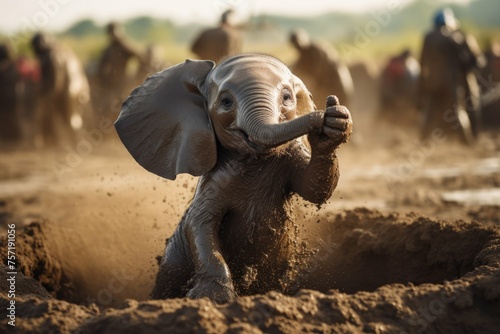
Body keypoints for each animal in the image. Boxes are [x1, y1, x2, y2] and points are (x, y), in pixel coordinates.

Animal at [116, 53, 352, 304]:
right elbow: (200, 223)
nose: (331, 104)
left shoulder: (290, 156)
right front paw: (213, 297)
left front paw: (334, 124)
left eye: (287, 97)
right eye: (226, 102)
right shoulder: (215, 181)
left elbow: (315, 189)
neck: (255, 158)